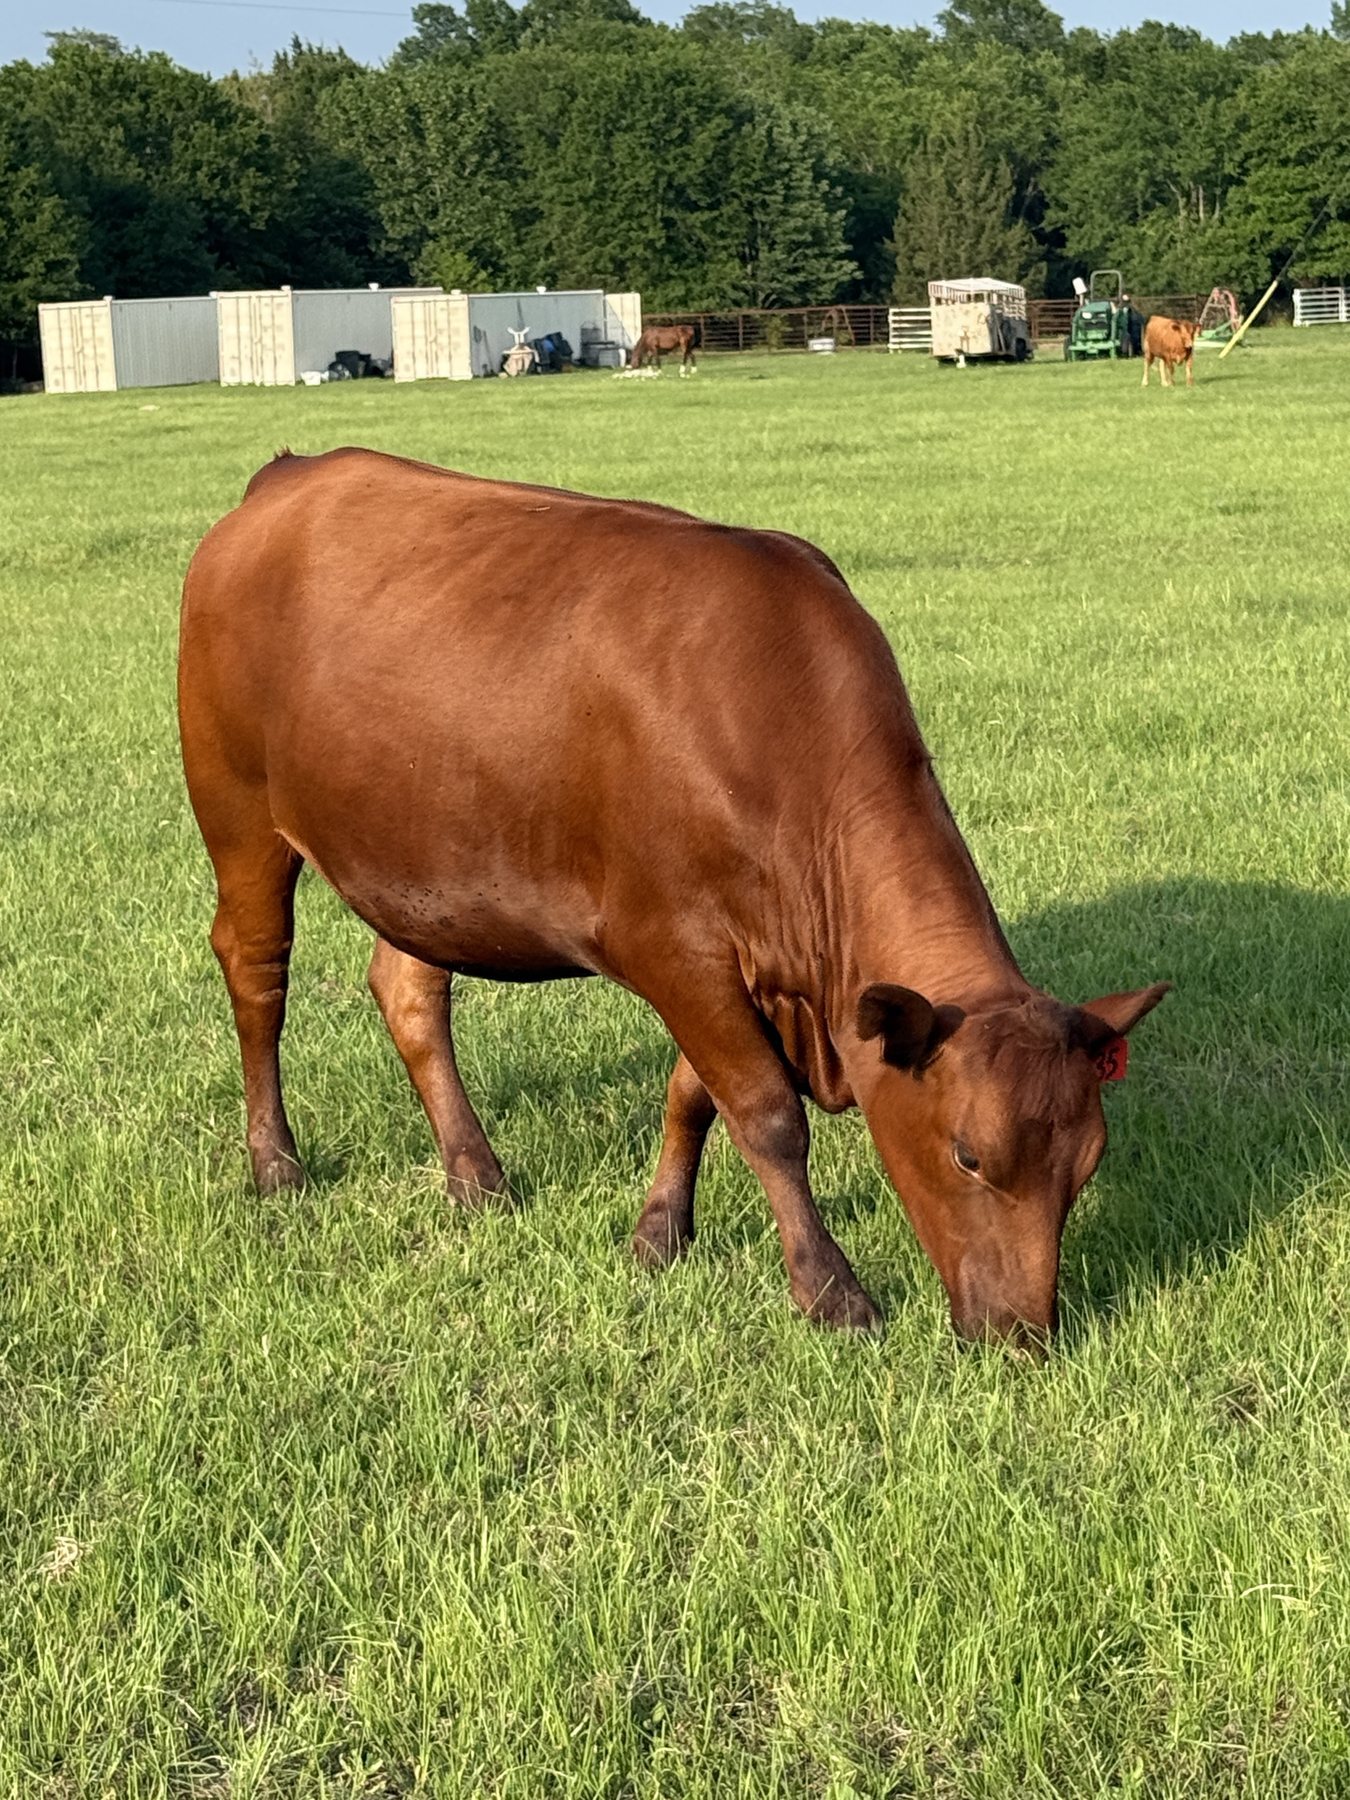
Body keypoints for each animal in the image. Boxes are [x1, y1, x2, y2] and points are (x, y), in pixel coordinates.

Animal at [178, 449, 1168, 1346]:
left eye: (1087, 1163)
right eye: (969, 1155)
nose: (1025, 1335)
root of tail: (291, 475)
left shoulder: (731, 962)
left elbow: (695, 1093)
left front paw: (660, 1233)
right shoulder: (672, 947)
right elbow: (766, 1115)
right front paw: (831, 1292)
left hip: (420, 855)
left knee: (410, 993)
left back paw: (476, 1175)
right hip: (240, 815)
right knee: (257, 973)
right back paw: (275, 1164)